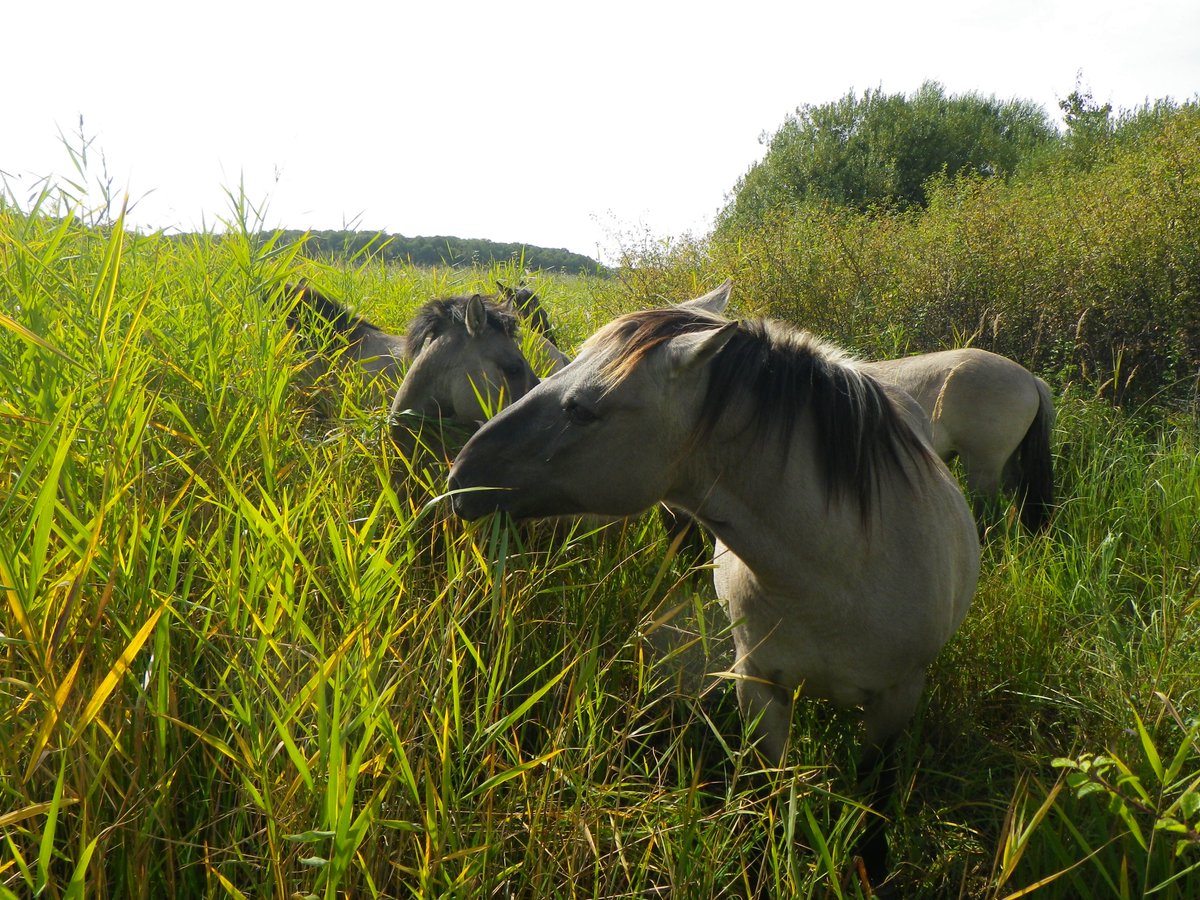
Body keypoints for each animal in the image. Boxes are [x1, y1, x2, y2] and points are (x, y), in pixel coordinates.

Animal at [448, 288, 980, 883]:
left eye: (581, 409)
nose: (462, 475)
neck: (840, 572)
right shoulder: (759, 685)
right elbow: (767, 789)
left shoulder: (895, 701)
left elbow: (874, 799)